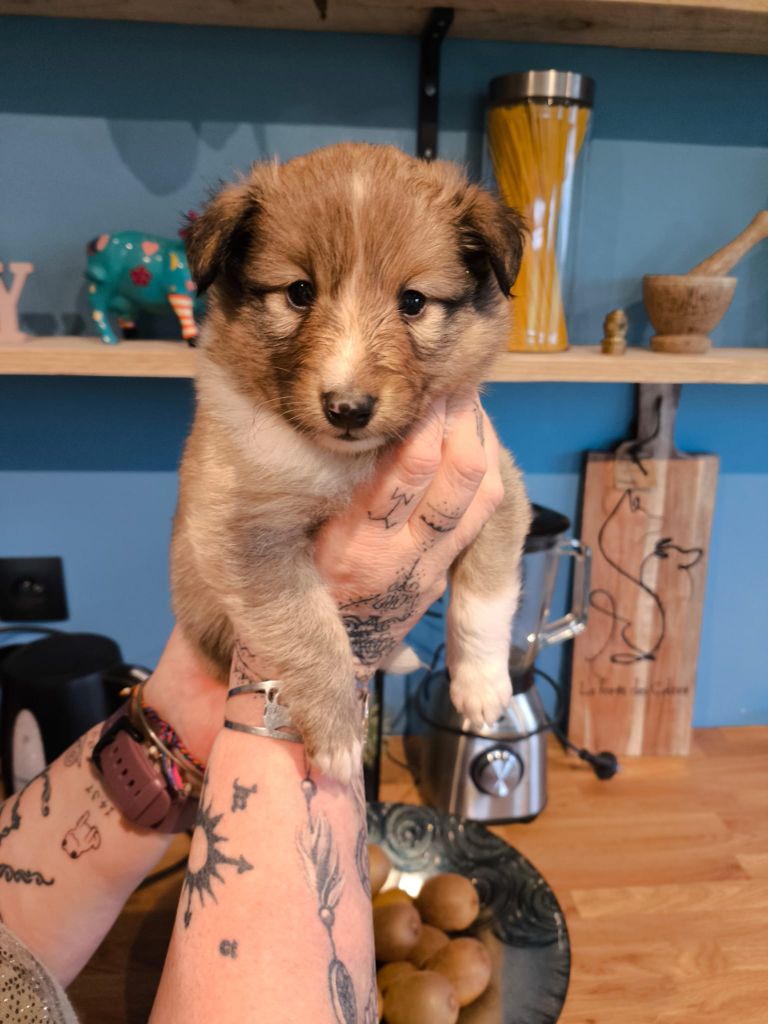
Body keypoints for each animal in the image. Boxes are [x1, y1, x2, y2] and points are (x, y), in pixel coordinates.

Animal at [172, 142, 531, 781]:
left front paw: (483, 686)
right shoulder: (244, 535)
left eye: (413, 301)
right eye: (298, 292)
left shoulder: (501, 484)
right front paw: (339, 733)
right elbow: (311, 629)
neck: (350, 460)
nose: (347, 408)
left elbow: (485, 595)